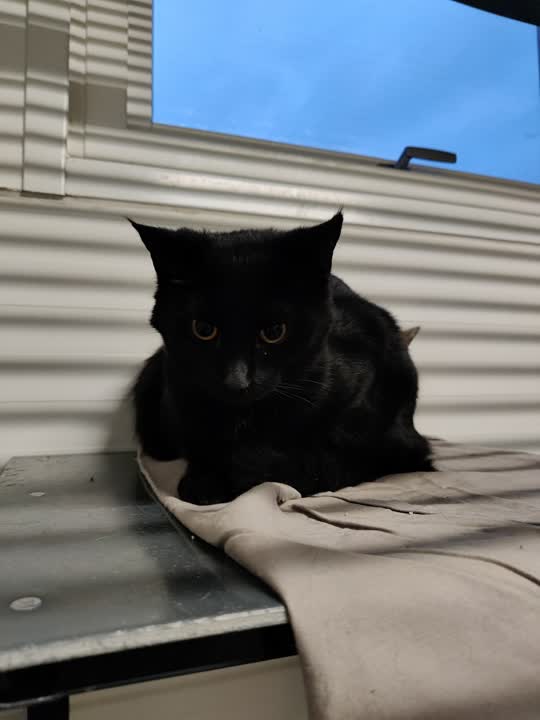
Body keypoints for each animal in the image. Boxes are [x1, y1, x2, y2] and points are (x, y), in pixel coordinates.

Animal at [130, 212, 433, 505]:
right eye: (203, 330)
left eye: (275, 332)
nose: (236, 381)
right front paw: (205, 478)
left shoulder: (389, 446)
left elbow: (314, 465)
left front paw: (229, 474)